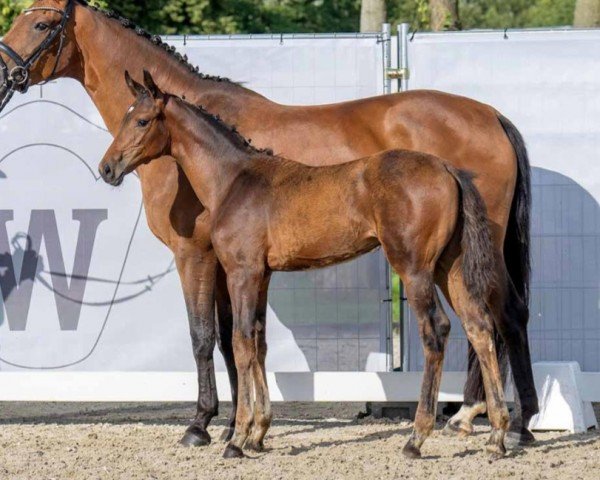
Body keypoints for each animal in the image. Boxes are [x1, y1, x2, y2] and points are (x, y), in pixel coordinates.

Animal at [99, 71, 510, 458]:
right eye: (125, 116)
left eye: (142, 121)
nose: (107, 168)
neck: (234, 180)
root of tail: (448, 169)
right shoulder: (262, 275)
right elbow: (259, 341)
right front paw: (258, 435)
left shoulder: (242, 272)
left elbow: (240, 342)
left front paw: (238, 438)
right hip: (448, 267)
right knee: (479, 326)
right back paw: (497, 435)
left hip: (414, 267)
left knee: (436, 330)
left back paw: (417, 437)